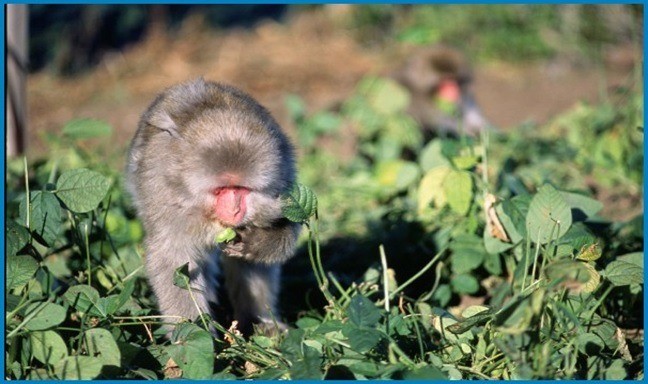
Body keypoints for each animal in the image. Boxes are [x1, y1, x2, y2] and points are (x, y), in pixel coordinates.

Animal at [126, 78, 302, 336]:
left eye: (240, 189)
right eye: (221, 190)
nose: (235, 211)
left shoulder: (284, 175)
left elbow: (288, 226)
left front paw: (258, 242)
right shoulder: (164, 194)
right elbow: (173, 259)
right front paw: (196, 335)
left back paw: (258, 321)